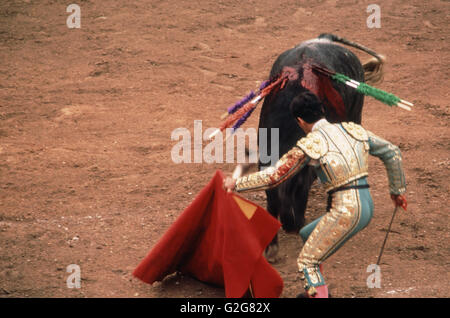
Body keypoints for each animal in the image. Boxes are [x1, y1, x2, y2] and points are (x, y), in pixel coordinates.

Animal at [239, 33, 384, 260]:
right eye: (272, 192)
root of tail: (324, 39)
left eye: (301, 187)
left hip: (356, 114)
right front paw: (271, 246)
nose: (291, 225)